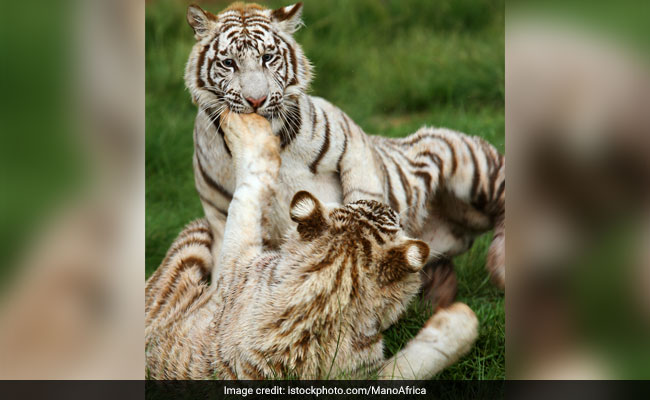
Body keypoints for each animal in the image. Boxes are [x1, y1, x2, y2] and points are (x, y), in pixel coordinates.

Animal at [185, 0, 504, 300]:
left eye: (268, 58)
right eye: (229, 63)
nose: (256, 100)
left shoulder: (352, 141)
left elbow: (362, 198)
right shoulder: (220, 212)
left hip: (472, 166)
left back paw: (498, 264)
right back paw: (439, 290)